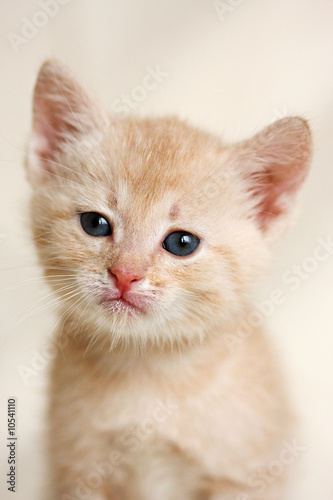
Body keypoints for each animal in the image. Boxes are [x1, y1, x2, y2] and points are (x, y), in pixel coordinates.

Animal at [26, 59, 312, 500]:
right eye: (95, 224)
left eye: (181, 243)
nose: (125, 274)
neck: (148, 371)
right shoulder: (79, 472)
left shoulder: (242, 476)